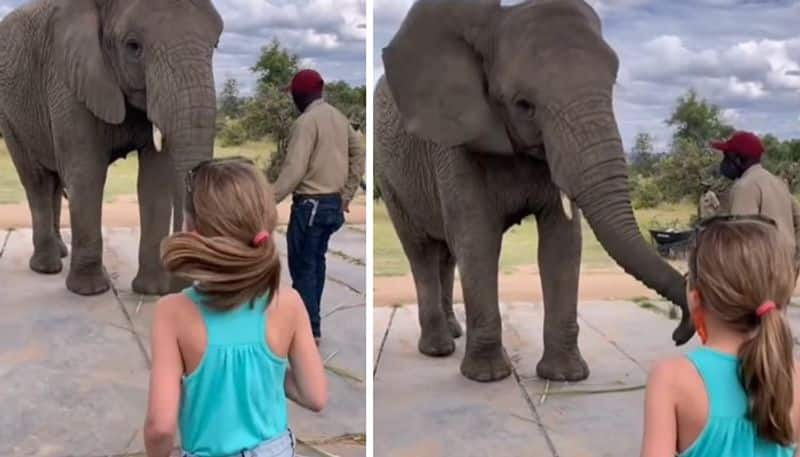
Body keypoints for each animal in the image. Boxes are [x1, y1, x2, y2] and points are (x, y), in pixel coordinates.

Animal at [0, 0, 222, 294]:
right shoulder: (67, 79)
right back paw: (46, 267)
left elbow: (155, 180)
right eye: (133, 47)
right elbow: (86, 173)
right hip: (10, 115)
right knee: (37, 180)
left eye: (216, 44)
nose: (177, 287)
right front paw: (89, 291)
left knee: (54, 182)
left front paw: (151, 290)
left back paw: (60, 253)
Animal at [376, 0, 692, 382]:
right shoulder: (455, 141)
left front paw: (565, 376)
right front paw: (487, 376)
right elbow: (477, 239)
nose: (679, 333)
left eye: (613, 86)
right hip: (388, 176)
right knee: (421, 249)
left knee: (447, 253)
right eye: (524, 105)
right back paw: (438, 349)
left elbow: (563, 243)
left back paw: (454, 332)